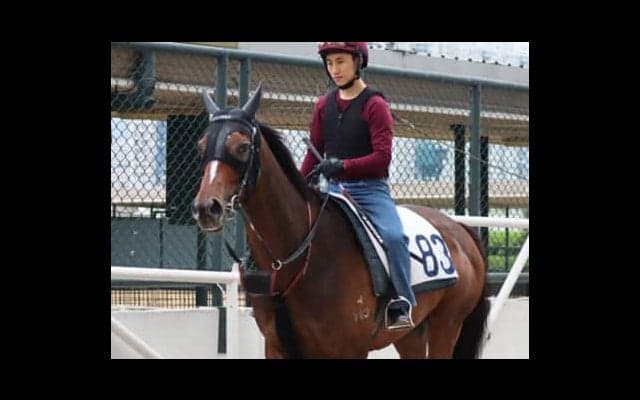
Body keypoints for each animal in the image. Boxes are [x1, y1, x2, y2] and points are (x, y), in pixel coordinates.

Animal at [193, 84, 489, 358]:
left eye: (242, 147)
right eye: (201, 146)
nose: (207, 207)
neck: (300, 256)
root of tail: (461, 230)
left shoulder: (349, 349)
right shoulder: (277, 347)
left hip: (447, 323)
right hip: (411, 332)